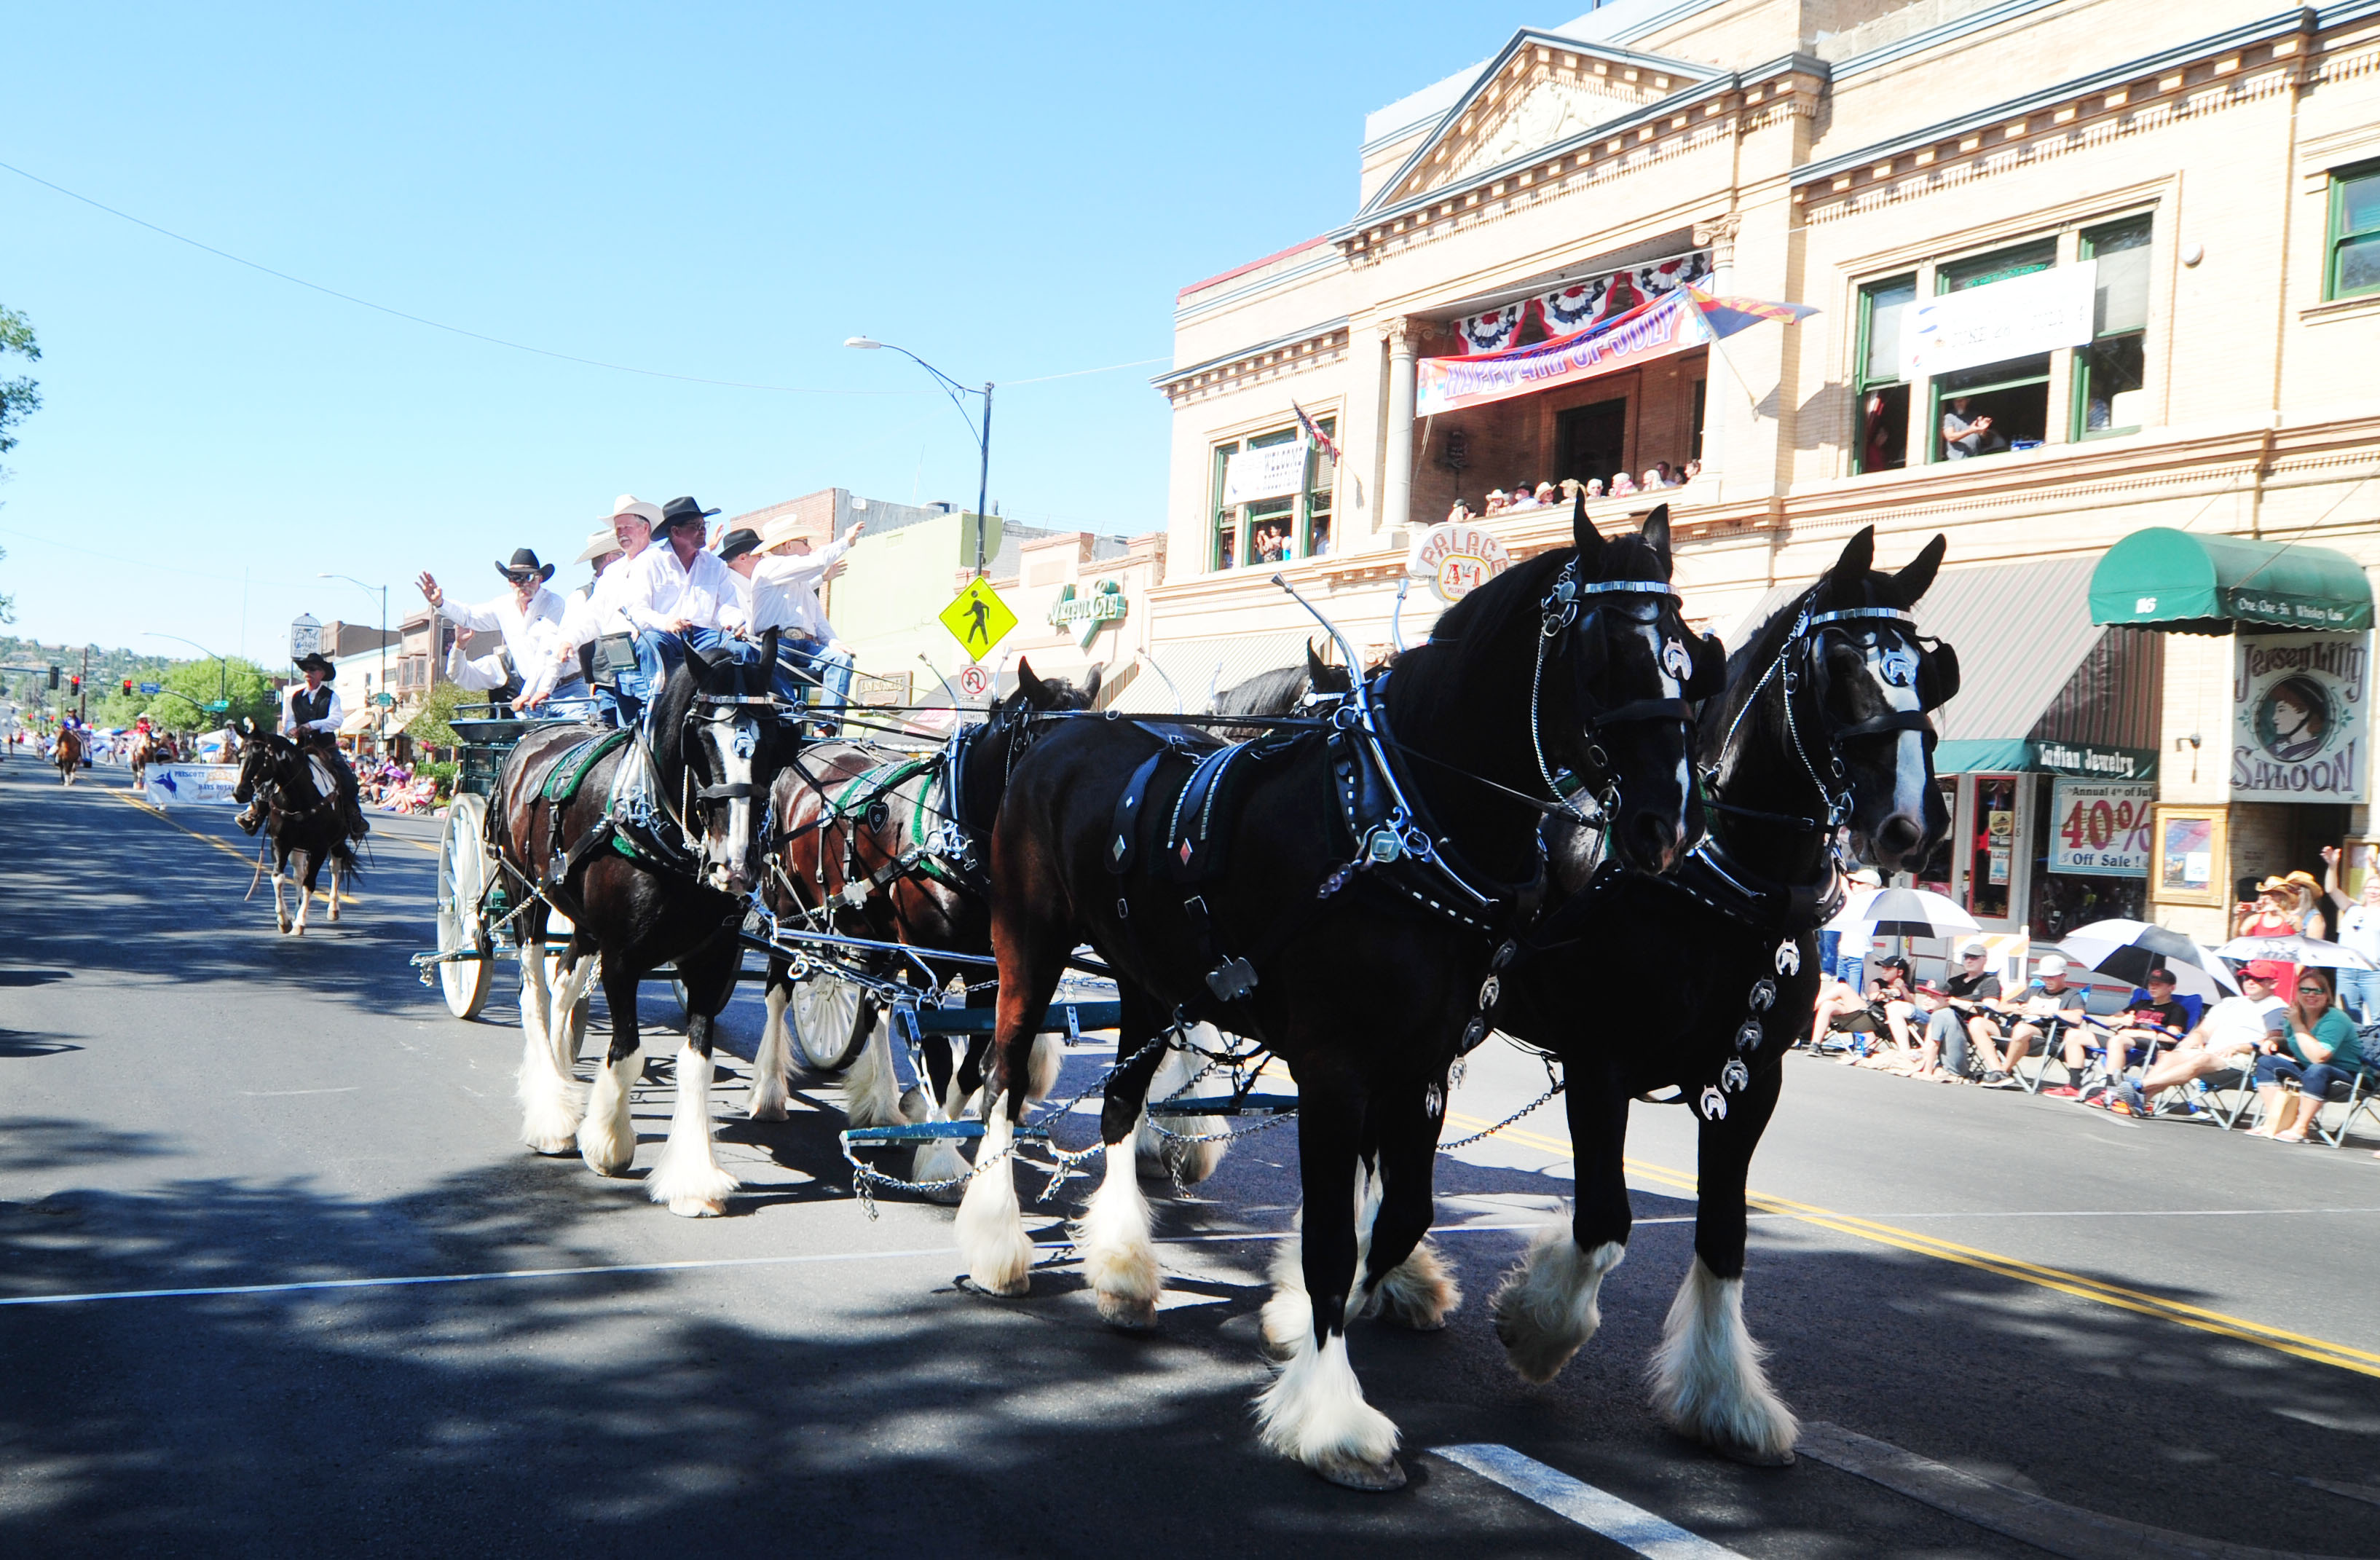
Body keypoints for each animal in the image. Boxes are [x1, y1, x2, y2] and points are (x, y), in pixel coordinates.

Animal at [230, 724, 357, 938]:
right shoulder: (280, 843)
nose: (240, 793)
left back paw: (333, 909)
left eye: (258, 756)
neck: (299, 796)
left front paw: (299, 923)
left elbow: (309, 883)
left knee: (335, 868)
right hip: (298, 848)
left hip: (337, 842)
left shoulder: (320, 848)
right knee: (299, 873)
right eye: (239, 755)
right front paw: (284, 920)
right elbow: (278, 878)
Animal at [502, 633, 800, 1219]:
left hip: (580, 919)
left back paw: (565, 1083)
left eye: (775, 739)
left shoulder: (711, 959)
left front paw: (692, 1178)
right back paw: (552, 1113)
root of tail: (534, 738)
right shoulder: (622, 958)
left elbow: (696, 1061)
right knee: (535, 995)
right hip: (526, 894)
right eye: (701, 737)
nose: (737, 865)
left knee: (564, 984)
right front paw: (609, 1145)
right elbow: (629, 1051)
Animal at [971, 503, 1733, 1486]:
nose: (1666, 823)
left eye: (1689, 656)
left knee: (1117, 1105)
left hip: (1145, 979)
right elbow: (1333, 1243)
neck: (1401, 821)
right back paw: (995, 1242)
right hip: (1026, 949)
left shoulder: (1422, 1067)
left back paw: (1123, 1269)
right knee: (1001, 1078)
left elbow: (1400, 1215)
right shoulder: (1335, 1069)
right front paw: (1331, 1416)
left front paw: (1304, 1326)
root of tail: (1062, 736)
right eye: (1602, 655)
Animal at [1485, 531, 1951, 1467]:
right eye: (1839, 664)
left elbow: (1724, 1234)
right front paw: (1538, 1328)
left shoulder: (1749, 1081)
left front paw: (1724, 1402)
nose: (1915, 825)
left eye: (1926, 668)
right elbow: (1605, 1218)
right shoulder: (1598, 1061)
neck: (1726, 876)